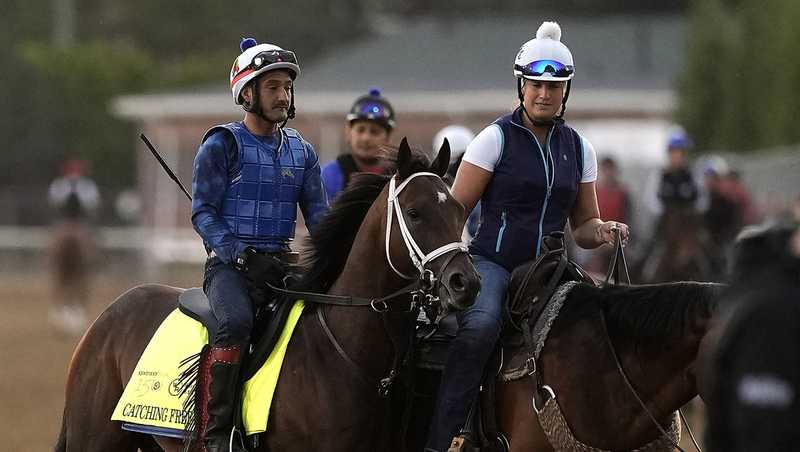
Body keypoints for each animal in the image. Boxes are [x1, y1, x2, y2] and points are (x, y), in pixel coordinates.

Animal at [57, 139, 482, 450]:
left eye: (460, 210)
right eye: (414, 212)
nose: (466, 282)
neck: (343, 352)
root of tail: (108, 315)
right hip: (94, 439)